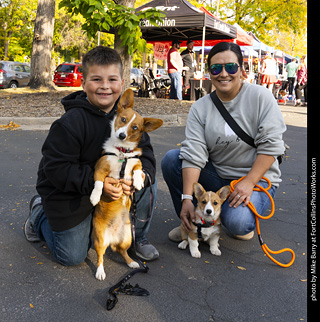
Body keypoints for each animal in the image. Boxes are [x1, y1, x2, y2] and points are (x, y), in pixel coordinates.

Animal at [89, 88, 162, 280]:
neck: (122, 152)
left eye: (135, 127)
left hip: (128, 237)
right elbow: (99, 184)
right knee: (100, 257)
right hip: (99, 239)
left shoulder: (136, 162)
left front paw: (138, 182)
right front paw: (94, 197)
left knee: (122, 252)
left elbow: (138, 169)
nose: (121, 135)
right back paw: (100, 272)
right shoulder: (99, 169)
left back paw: (132, 262)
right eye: (122, 119)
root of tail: (113, 238)